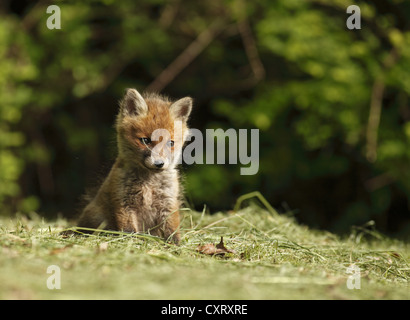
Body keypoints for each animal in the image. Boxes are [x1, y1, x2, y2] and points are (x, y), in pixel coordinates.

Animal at [77, 87, 193, 242]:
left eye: (171, 143)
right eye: (145, 140)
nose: (159, 164)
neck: (149, 184)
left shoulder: (168, 201)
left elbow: (171, 229)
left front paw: (174, 244)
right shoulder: (124, 202)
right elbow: (129, 230)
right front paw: (131, 242)